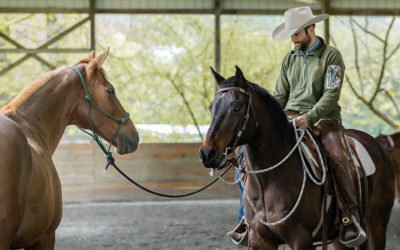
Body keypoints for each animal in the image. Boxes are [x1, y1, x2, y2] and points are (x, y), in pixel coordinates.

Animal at [200, 67, 394, 250]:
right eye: (211, 107)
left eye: (236, 107)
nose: (207, 153)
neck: (269, 181)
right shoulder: (259, 240)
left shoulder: (301, 239)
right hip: (339, 240)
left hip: (376, 227)